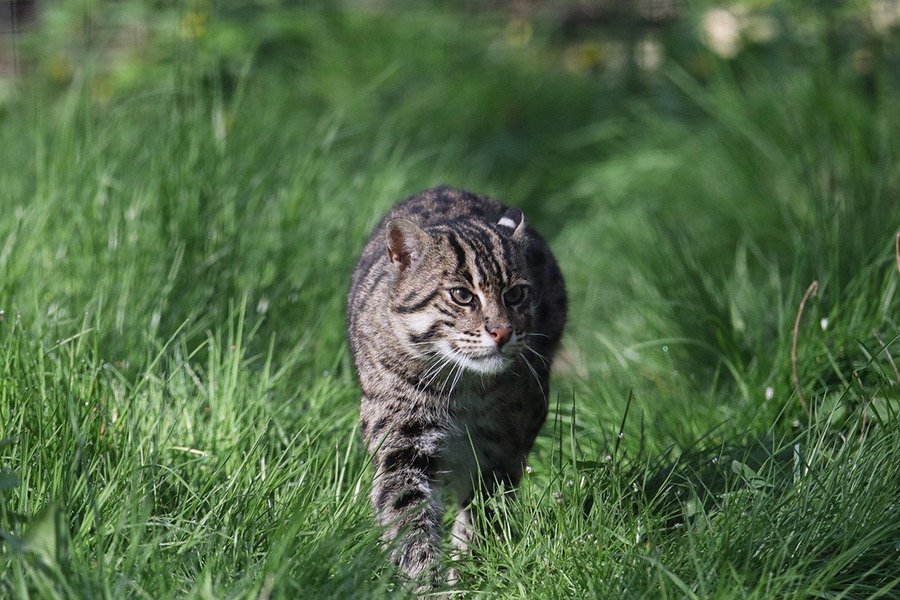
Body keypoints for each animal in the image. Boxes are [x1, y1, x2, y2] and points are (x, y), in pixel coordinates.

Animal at [348, 185, 568, 584]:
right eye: (462, 295)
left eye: (515, 294)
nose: (503, 331)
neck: (462, 385)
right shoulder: (402, 442)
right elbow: (408, 516)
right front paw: (425, 581)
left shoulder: (501, 449)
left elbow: (483, 512)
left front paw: (470, 567)